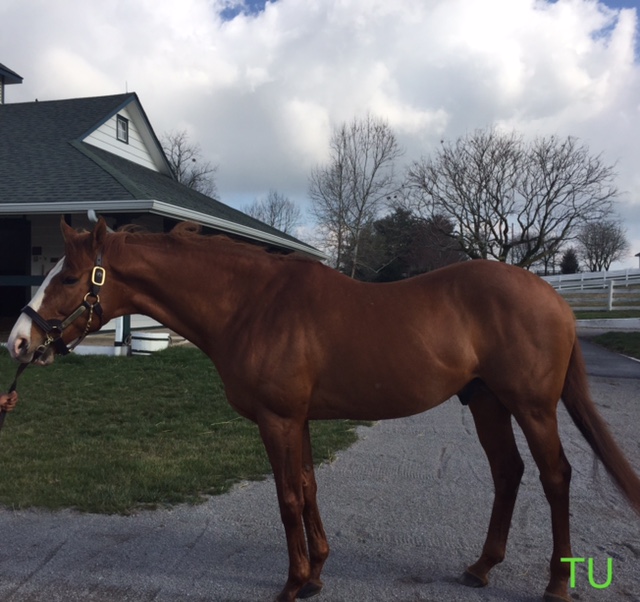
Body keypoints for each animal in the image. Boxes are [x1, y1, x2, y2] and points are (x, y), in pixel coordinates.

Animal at [8, 218, 640, 596]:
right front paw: (317, 570)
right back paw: (481, 567)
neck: (251, 306)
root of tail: (553, 297)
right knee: (508, 473)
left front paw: (294, 582)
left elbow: (288, 497)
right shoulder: (300, 420)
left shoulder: (277, 420)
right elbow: (309, 486)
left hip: (531, 407)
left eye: (68, 276)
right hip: (486, 403)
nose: (18, 341)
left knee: (555, 477)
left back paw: (556, 583)